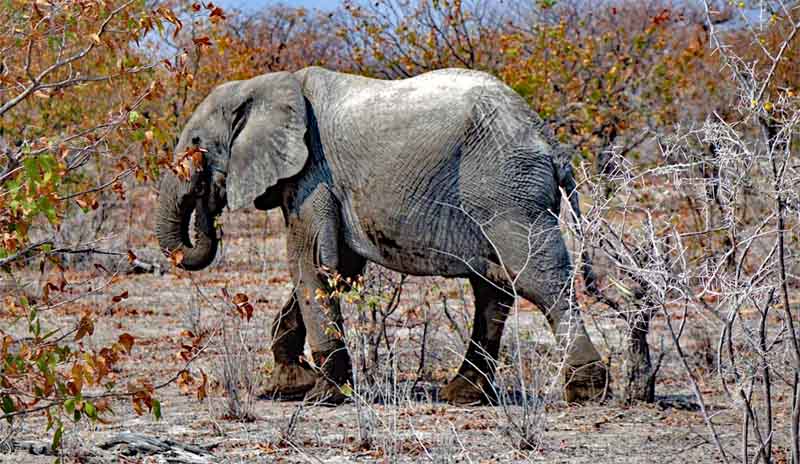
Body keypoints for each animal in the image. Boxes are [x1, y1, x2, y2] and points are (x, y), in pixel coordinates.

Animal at [155, 66, 608, 405]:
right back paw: (463, 394)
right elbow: (336, 268)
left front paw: (321, 396)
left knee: (539, 279)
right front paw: (288, 386)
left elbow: (311, 262)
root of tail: (551, 144)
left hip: (508, 191)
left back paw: (586, 390)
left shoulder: (313, 173)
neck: (266, 85)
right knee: (493, 286)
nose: (206, 199)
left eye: (197, 144)